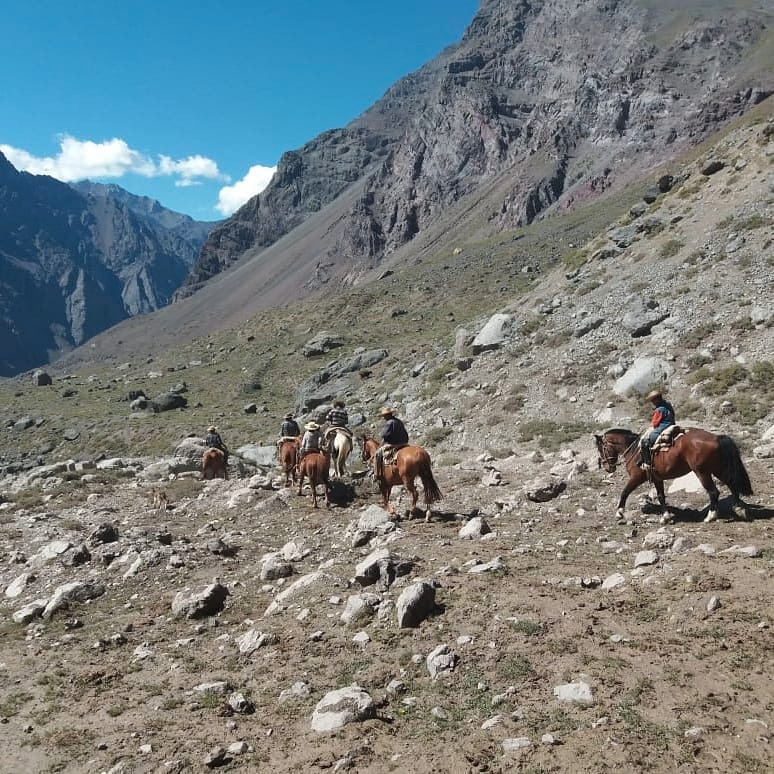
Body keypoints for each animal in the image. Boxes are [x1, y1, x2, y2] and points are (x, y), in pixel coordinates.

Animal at [596, 428, 756, 524]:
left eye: (601, 448)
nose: (607, 468)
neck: (635, 450)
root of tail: (716, 437)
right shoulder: (657, 479)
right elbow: (661, 496)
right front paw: (665, 517)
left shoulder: (637, 478)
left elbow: (625, 492)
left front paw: (619, 513)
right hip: (718, 469)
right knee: (732, 484)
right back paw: (739, 509)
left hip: (702, 472)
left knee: (714, 492)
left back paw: (710, 516)